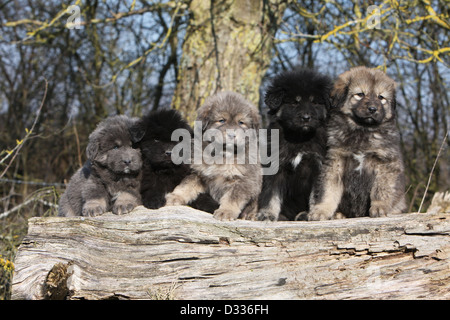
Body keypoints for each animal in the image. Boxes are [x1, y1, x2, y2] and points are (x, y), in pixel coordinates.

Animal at [165, 91, 262, 219]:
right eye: (221, 120)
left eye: (241, 122)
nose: (232, 134)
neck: (223, 153)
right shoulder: (198, 173)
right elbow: (186, 186)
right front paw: (175, 197)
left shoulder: (243, 180)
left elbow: (232, 198)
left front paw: (226, 211)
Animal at [256, 68, 330, 221]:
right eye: (295, 103)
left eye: (315, 103)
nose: (306, 118)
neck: (300, 138)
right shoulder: (275, 165)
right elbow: (270, 193)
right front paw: (267, 214)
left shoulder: (319, 166)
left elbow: (316, 196)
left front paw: (313, 214)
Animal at [308, 66, 406, 221]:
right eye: (360, 94)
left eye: (381, 97)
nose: (372, 109)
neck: (363, 130)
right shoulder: (335, 161)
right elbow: (327, 190)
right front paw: (322, 210)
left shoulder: (385, 162)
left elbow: (381, 189)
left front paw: (379, 207)